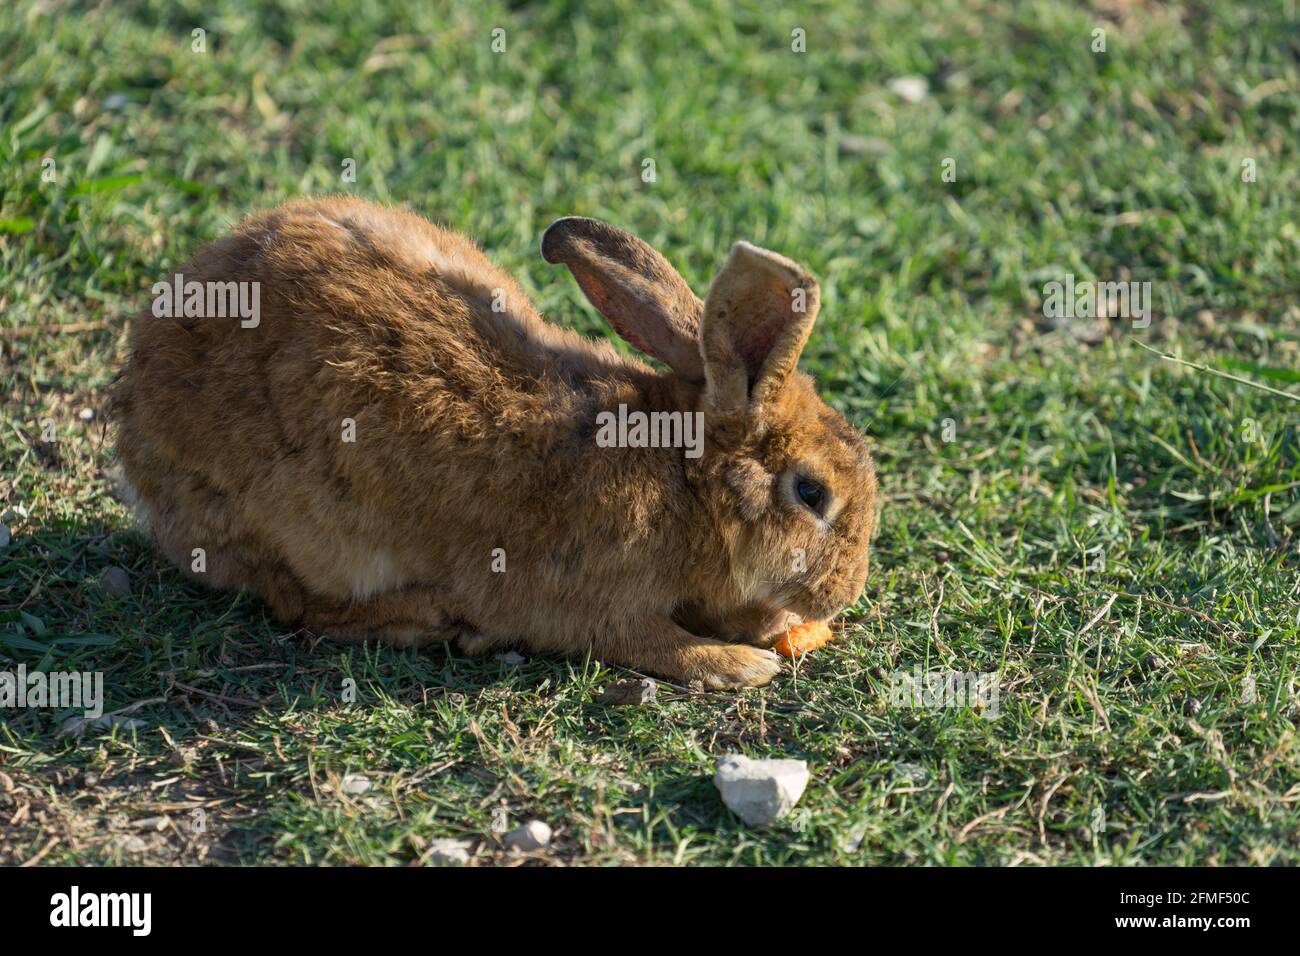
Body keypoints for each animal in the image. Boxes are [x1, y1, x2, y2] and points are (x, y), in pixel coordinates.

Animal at [111, 197, 878, 688]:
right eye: (811, 493)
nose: (845, 593)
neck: (682, 477)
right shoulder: (591, 596)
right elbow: (647, 640)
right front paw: (742, 666)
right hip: (295, 528)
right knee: (298, 604)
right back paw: (431, 619)